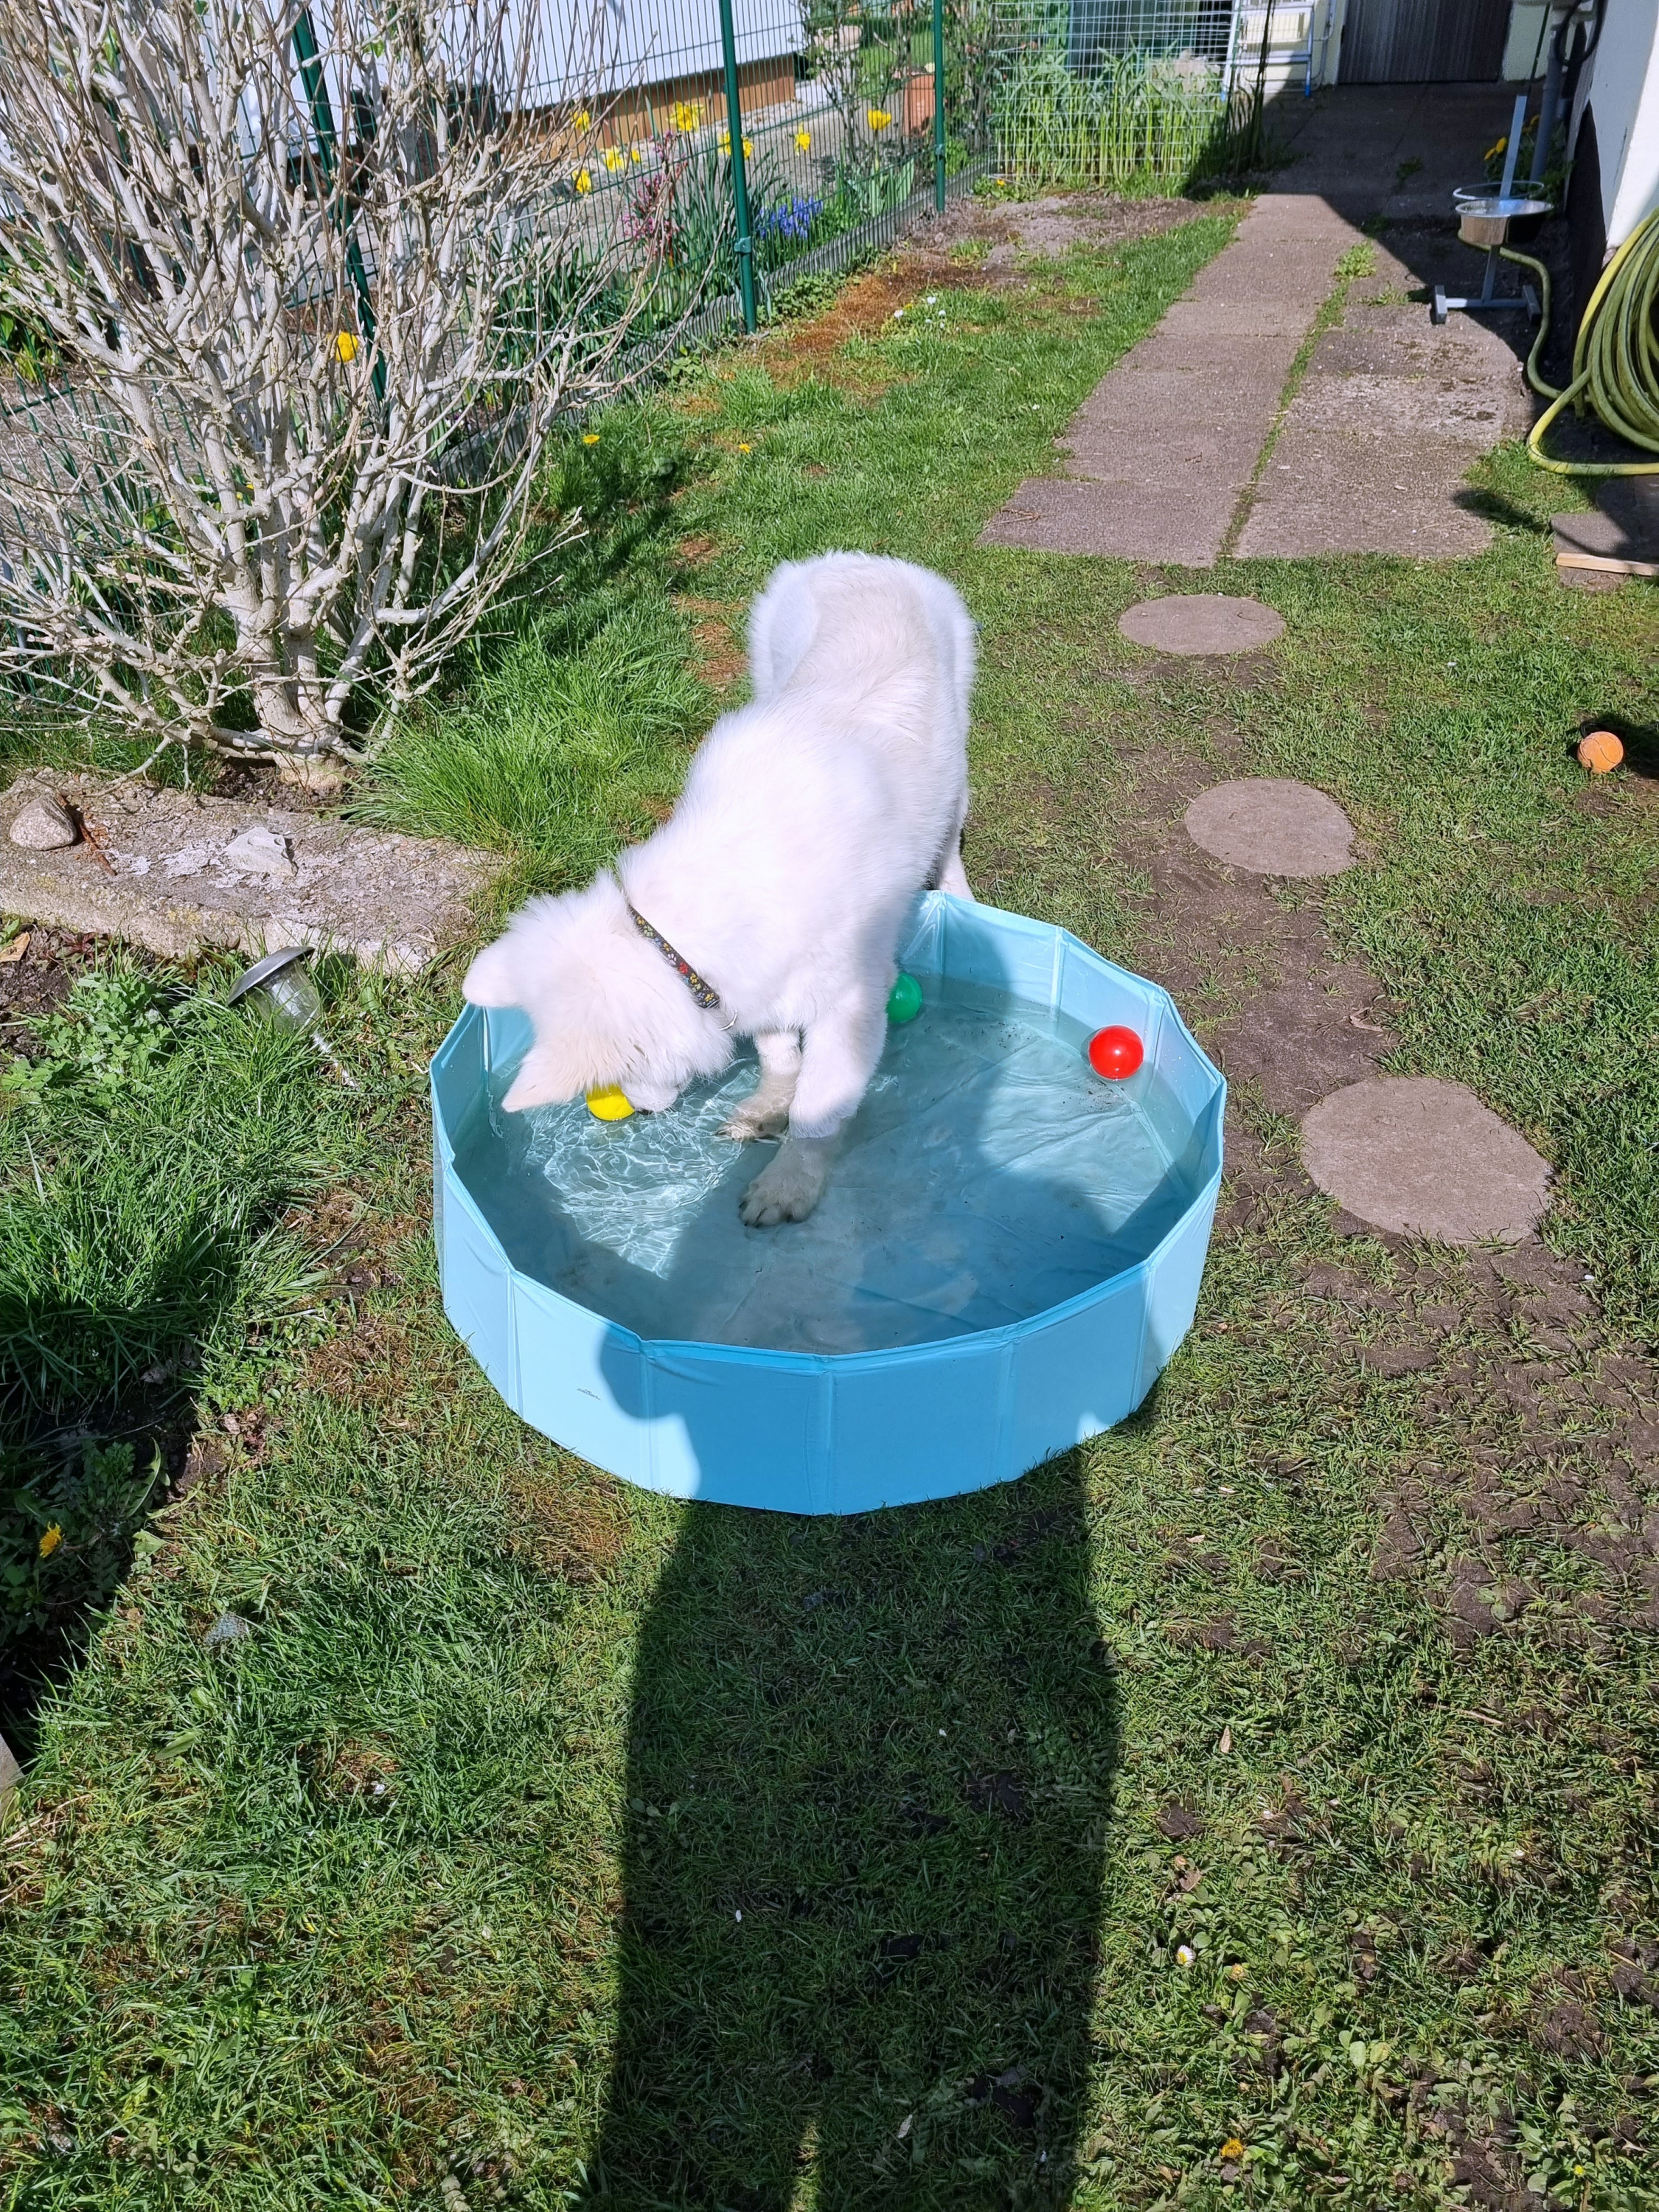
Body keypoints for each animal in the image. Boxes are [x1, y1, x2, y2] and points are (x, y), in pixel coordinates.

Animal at [462, 544, 982, 1221]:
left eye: (617, 1079)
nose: (642, 1112)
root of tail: (859, 559)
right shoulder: (755, 981)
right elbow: (780, 1056)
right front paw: (765, 1109)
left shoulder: (851, 1007)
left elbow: (818, 1111)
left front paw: (789, 1183)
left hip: (958, 749)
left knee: (952, 828)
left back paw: (959, 890)